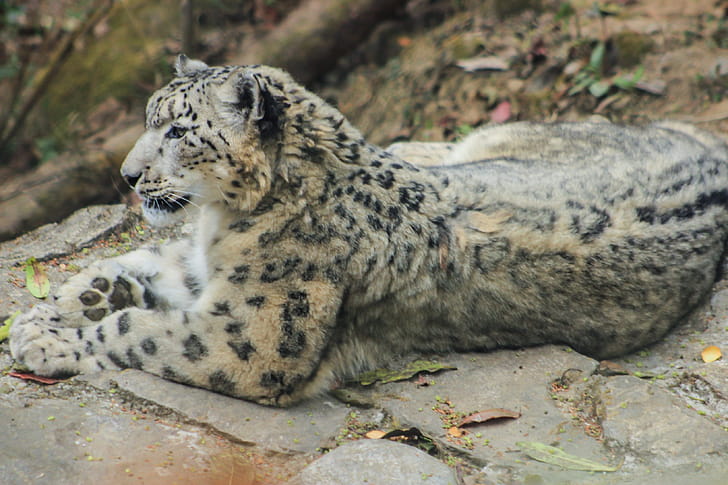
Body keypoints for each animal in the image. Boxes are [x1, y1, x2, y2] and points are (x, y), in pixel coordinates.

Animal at [9, 55, 728, 406]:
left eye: (179, 131)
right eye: (149, 118)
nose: (129, 176)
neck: (223, 223)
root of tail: (709, 160)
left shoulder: (245, 336)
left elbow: (141, 331)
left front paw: (63, 343)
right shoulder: (199, 266)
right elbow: (118, 271)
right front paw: (43, 321)